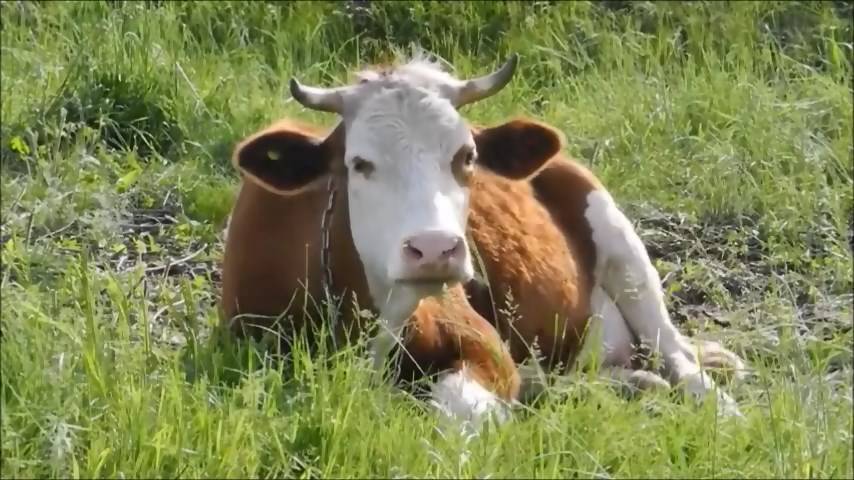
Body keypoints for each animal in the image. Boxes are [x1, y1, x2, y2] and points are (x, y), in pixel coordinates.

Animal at [220, 52, 747, 428]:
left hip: (619, 239)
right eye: (359, 163)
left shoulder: (482, 346)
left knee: (676, 354)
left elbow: (465, 408)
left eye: (466, 156)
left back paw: (719, 409)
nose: (435, 249)